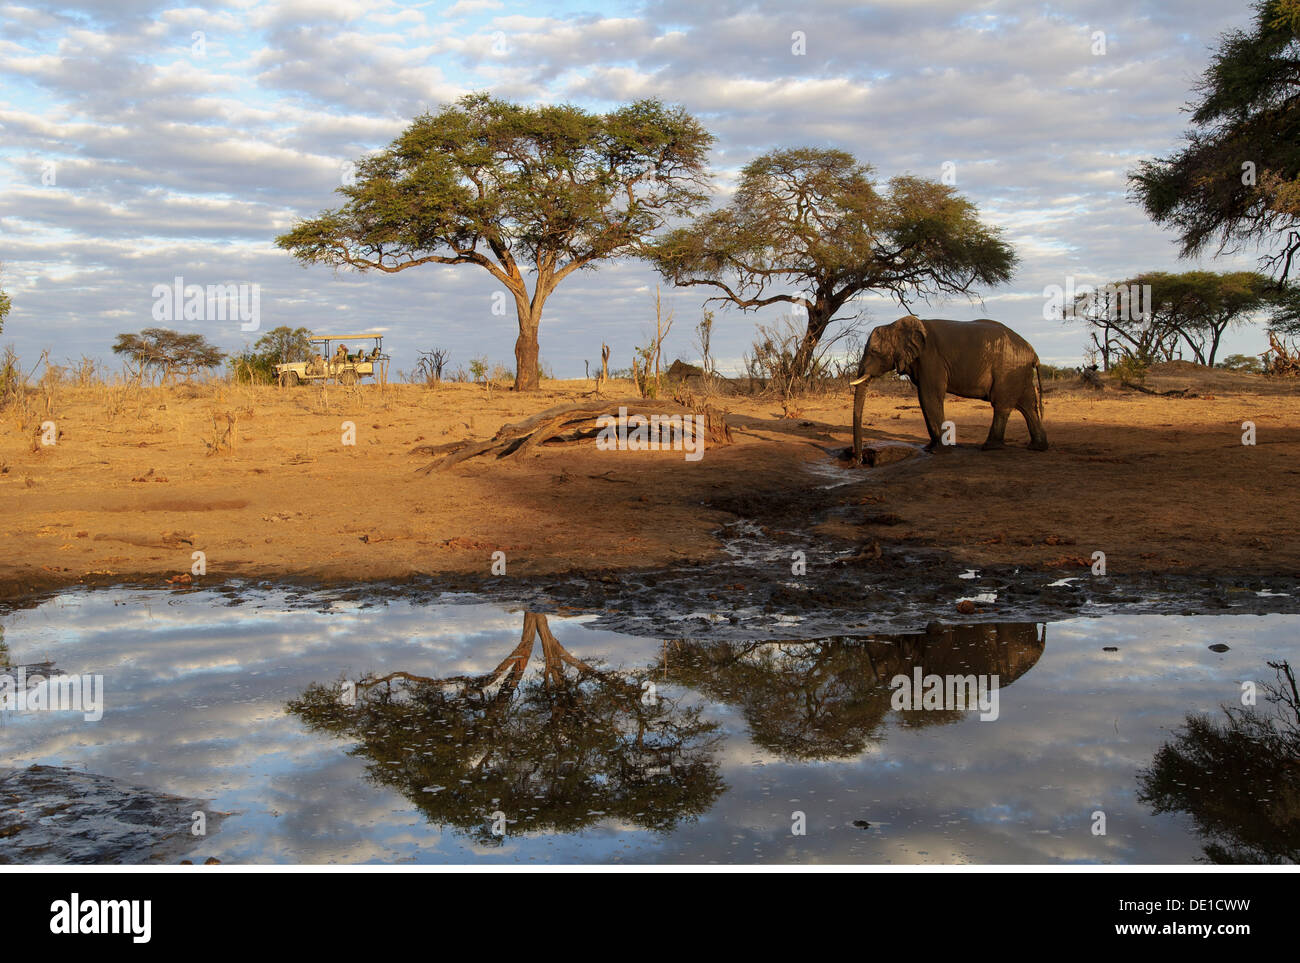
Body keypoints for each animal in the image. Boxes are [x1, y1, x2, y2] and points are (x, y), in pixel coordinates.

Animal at [847, 313, 1050, 460]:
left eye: (874, 351)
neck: (896, 324)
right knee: (1028, 406)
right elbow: (925, 398)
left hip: (1008, 370)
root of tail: (1033, 353)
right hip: (1019, 371)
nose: (859, 458)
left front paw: (937, 452)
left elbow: (928, 396)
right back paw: (1037, 448)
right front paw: (928, 448)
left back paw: (990, 448)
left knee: (1002, 405)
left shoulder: (931, 358)